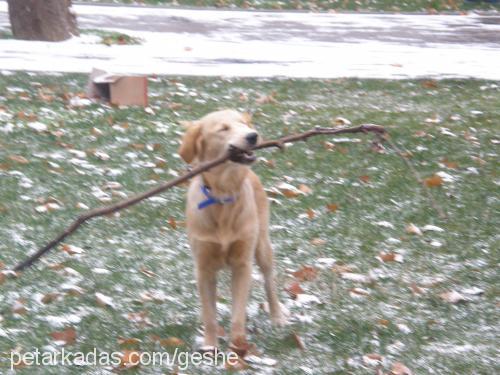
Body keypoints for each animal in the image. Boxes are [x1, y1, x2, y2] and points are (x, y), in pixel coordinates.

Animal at [178, 110, 286, 352]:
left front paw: (237, 347)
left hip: (262, 246)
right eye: (223, 128)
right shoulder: (203, 267)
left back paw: (277, 317)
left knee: (270, 282)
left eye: (244, 123)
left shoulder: (242, 263)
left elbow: (238, 313)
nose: (253, 135)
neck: (223, 195)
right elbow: (209, 314)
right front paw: (210, 347)